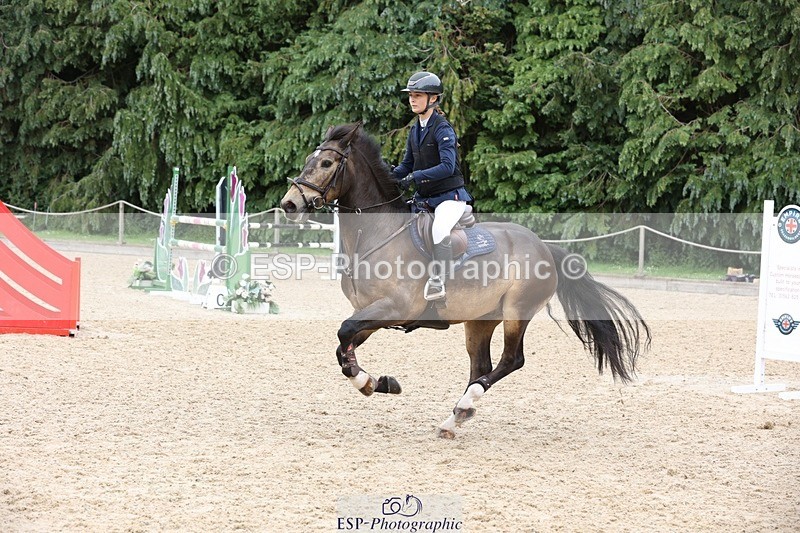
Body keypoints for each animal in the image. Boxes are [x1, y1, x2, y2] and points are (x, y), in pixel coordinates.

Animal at [280, 122, 651, 439]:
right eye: (310, 160)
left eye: (326, 162)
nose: (289, 204)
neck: (377, 234)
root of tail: (545, 247)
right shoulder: (371, 312)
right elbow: (343, 347)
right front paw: (376, 382)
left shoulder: (394, 307)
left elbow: (343, 335)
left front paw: (372, 383)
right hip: (480, 318)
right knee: (481, 365)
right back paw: (455, 417)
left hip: (517, 311)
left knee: (511, 361)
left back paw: (464, 406)